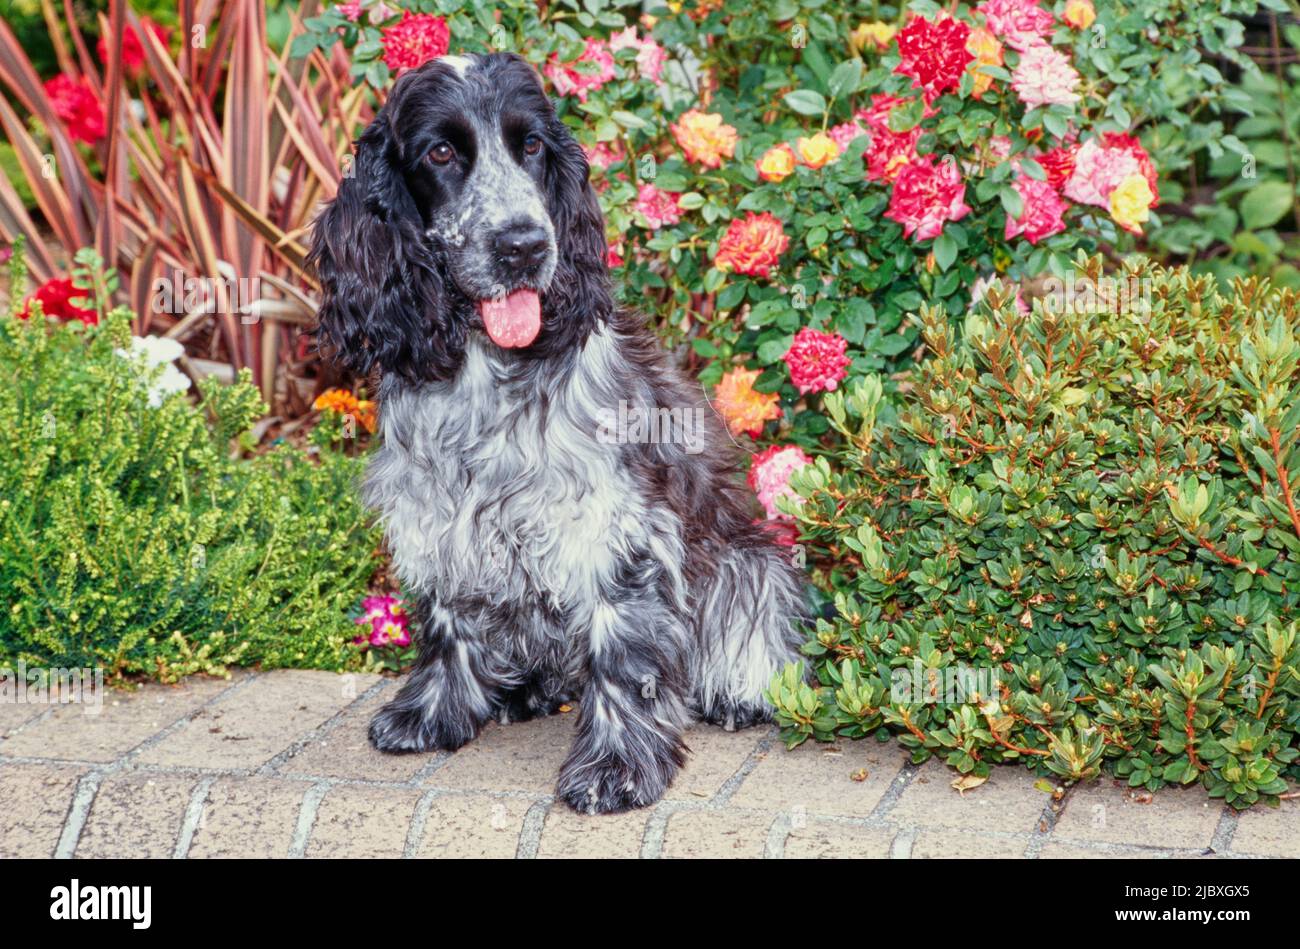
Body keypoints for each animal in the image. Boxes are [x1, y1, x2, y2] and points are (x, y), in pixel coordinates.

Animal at [309, 51, 806, 811]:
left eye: (533, 146)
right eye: (441, 153)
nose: (523, 245)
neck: (486, 364)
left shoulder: (614, 524)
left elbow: (624, 652)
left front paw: (616, 766)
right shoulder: (438, 510)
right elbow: (446, 619)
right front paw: (432, 713)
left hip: (753, 566)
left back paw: (732, 697)